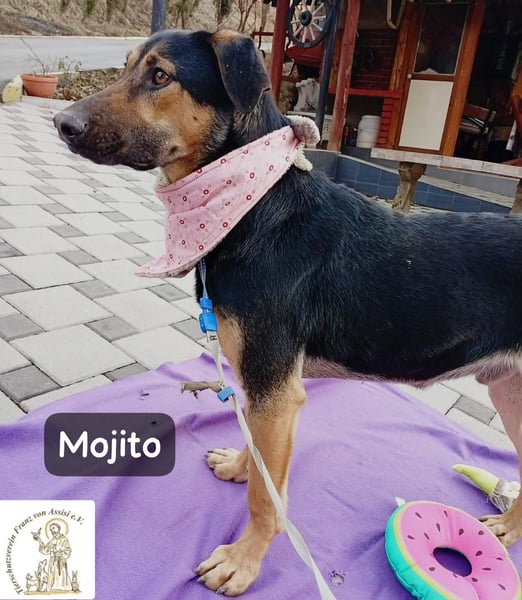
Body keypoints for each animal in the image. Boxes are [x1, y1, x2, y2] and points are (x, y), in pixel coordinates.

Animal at [54, 29, 522, 595]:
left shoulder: (275, 388)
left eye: (161, 76)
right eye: (124, 68)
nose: (62, 123)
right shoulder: (268, 391)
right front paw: (240, 465)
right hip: (510, 391)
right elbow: (259, 458)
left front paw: (244, 561)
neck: (249, 206)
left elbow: (264, 497)